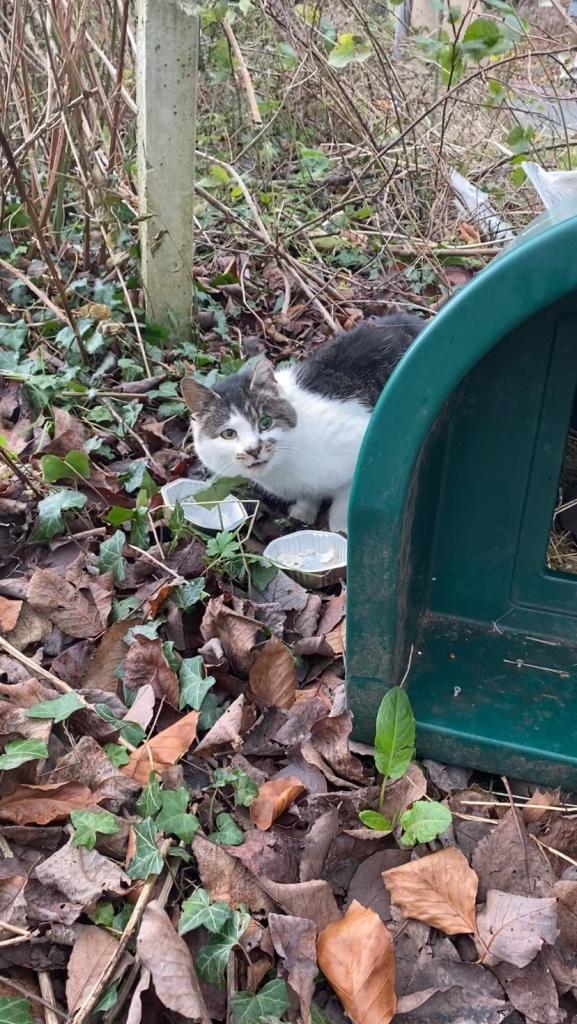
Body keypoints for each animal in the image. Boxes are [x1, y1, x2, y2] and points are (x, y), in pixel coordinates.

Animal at [182, 313, 422, 536]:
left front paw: (340, 529)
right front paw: (304, 511)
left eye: (265, 422)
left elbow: (345, 500)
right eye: (229, 434)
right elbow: (310, 496)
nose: (254, 450)